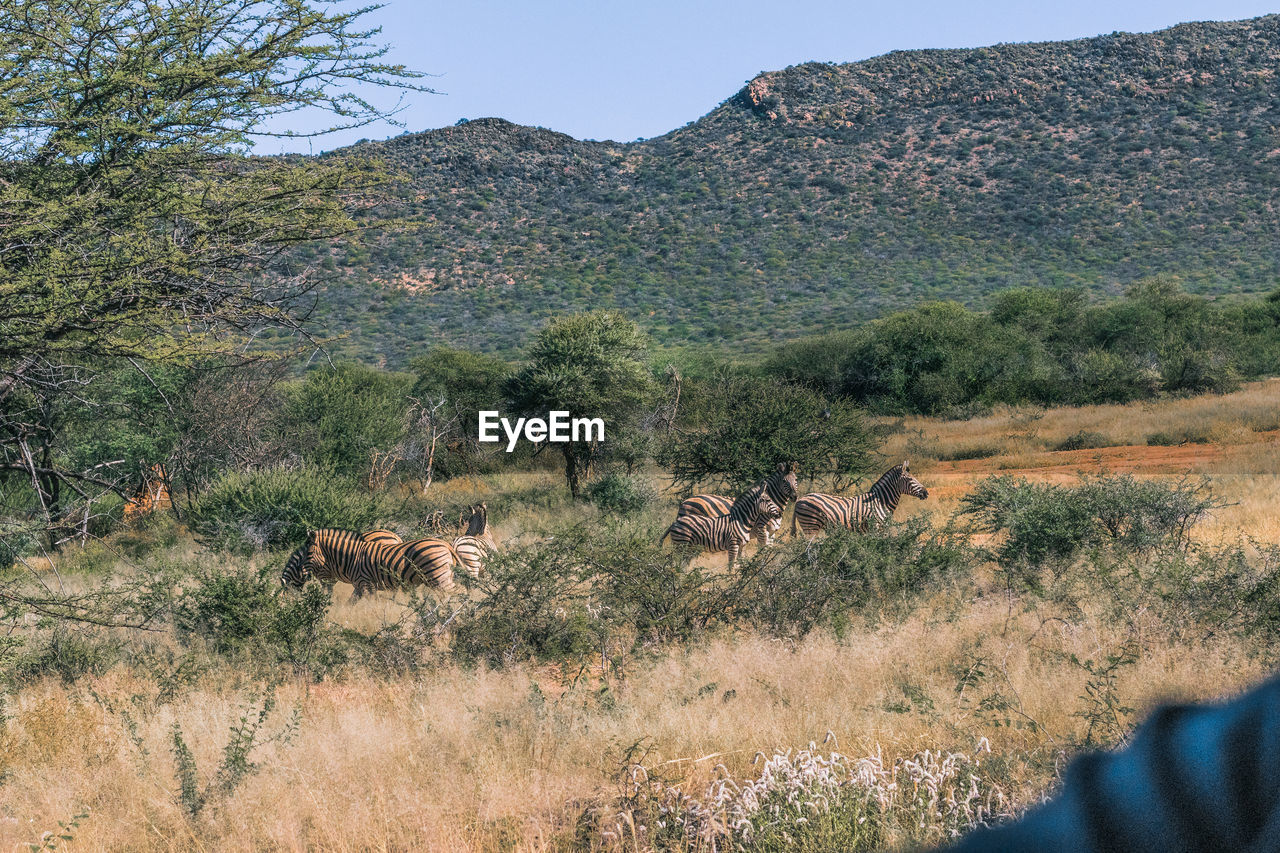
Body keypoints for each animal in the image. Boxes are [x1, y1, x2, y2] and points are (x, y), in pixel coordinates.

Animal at [788, 455, 931, 535]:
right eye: (910, 479)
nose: (926, 493)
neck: (880, 502)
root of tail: (800, 499)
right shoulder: (876, 528)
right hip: (810, 526)